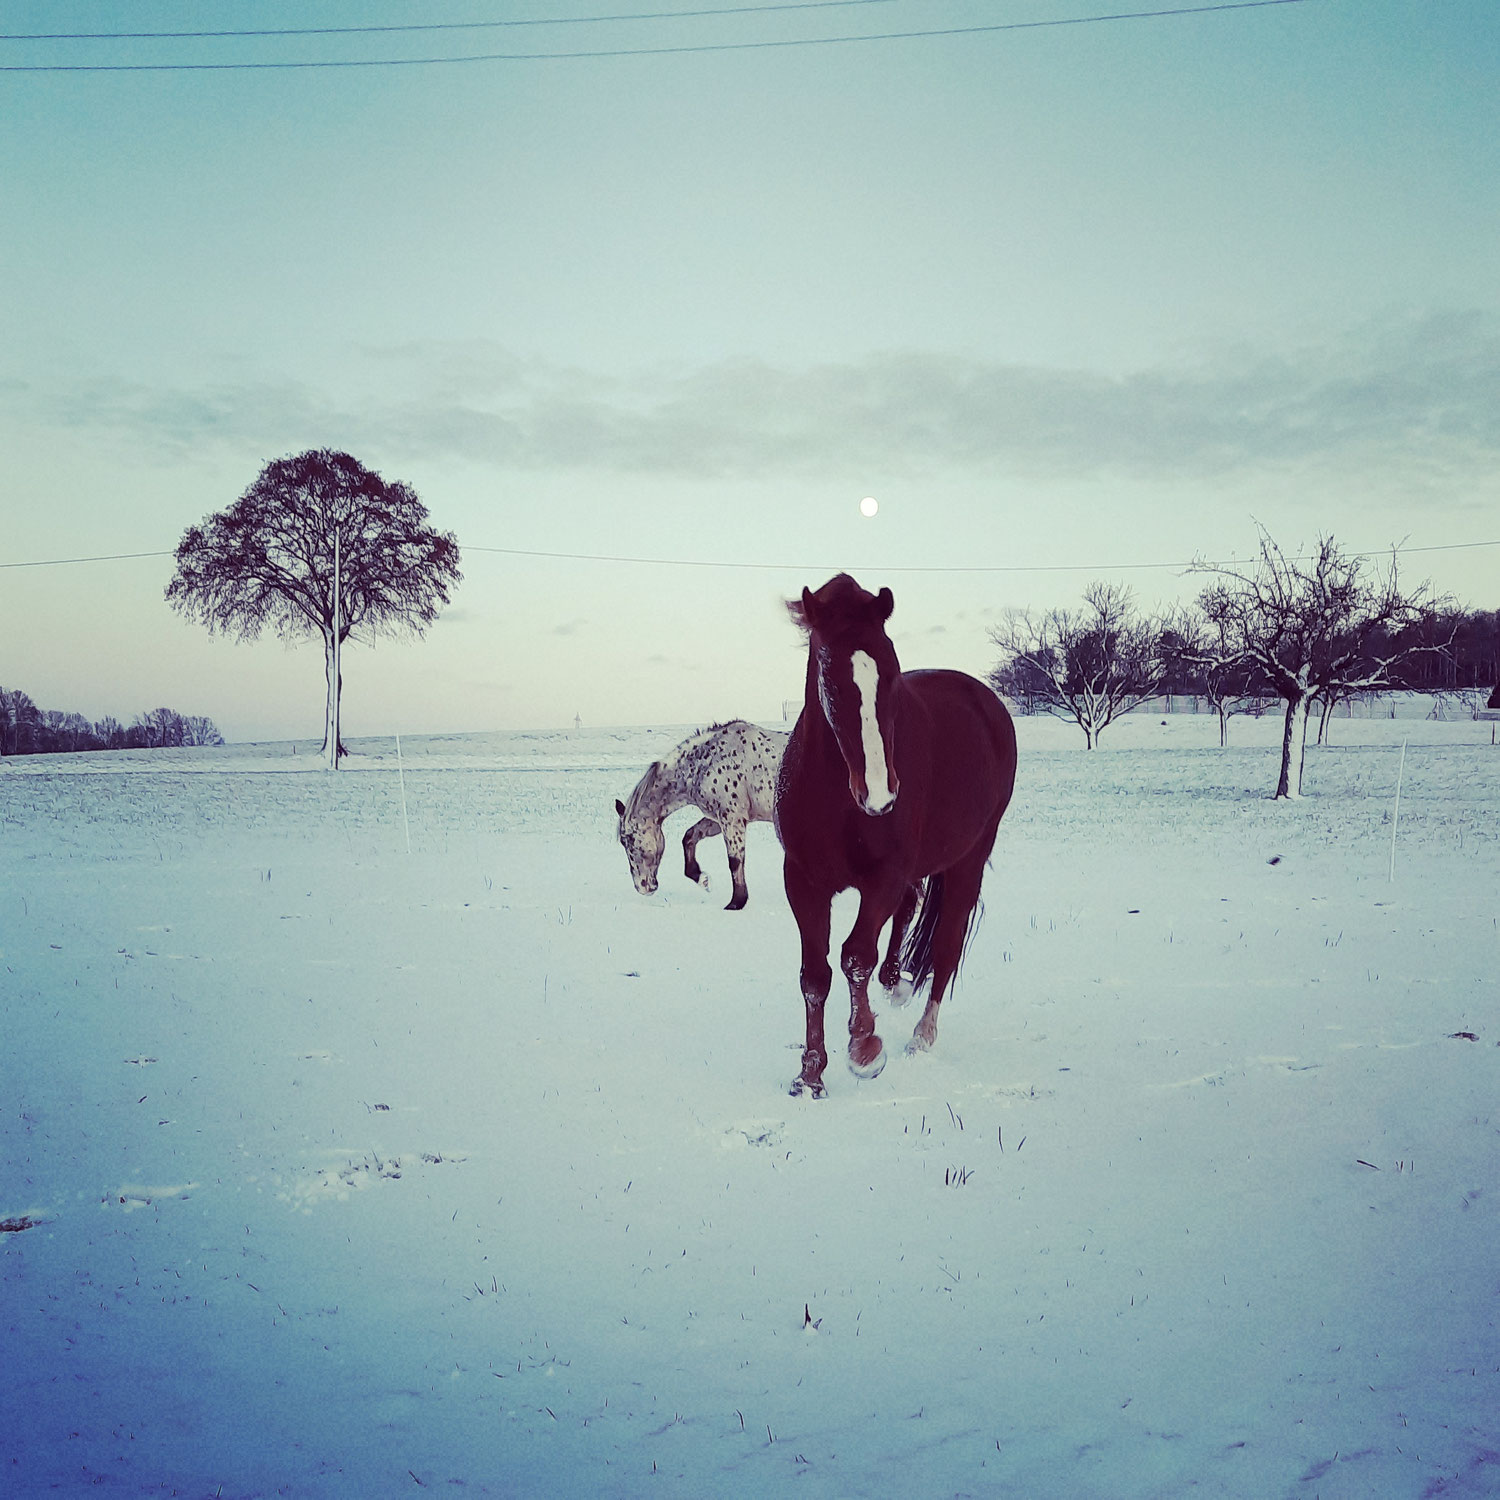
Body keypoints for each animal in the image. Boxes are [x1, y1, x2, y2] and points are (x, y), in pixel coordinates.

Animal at [615, 721, 789, 911]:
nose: (643, 887)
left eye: (626, 839)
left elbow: (735, 860)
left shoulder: (731, 818)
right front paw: (703, 879)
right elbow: (689, 837)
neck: (706, 763)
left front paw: (736, 903)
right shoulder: (718, 819)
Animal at [776, 574, 1018, 1098]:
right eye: (830, 676)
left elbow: (854, 956)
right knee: (910, 909)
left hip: (969, 860)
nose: (881, 794)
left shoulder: (881, 879)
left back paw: (921, 1036)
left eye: (890, 671)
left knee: (945, 946)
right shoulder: (803, 881)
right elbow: (815, 975)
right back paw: (896, 983)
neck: (835, 799)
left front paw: (864, 1048)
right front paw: (810, 1074)